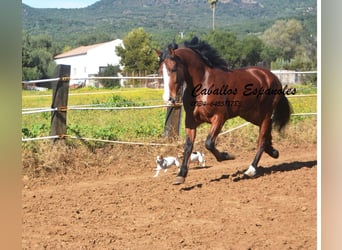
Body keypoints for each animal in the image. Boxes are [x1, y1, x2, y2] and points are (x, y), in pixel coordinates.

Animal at [158, 37, 292, 186]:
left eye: (173, 69)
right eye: (160, 71)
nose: (168, 98)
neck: (203, 84)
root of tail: (272, 76)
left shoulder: (219, 117)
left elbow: (209, 143)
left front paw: (227, 156)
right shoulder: (191, 121)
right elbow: (188, 146)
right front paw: (180, 175)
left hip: (265, 113)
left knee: (261, 139)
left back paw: (251, 170)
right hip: (251, 114)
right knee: (267, 131)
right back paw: (274, 152)